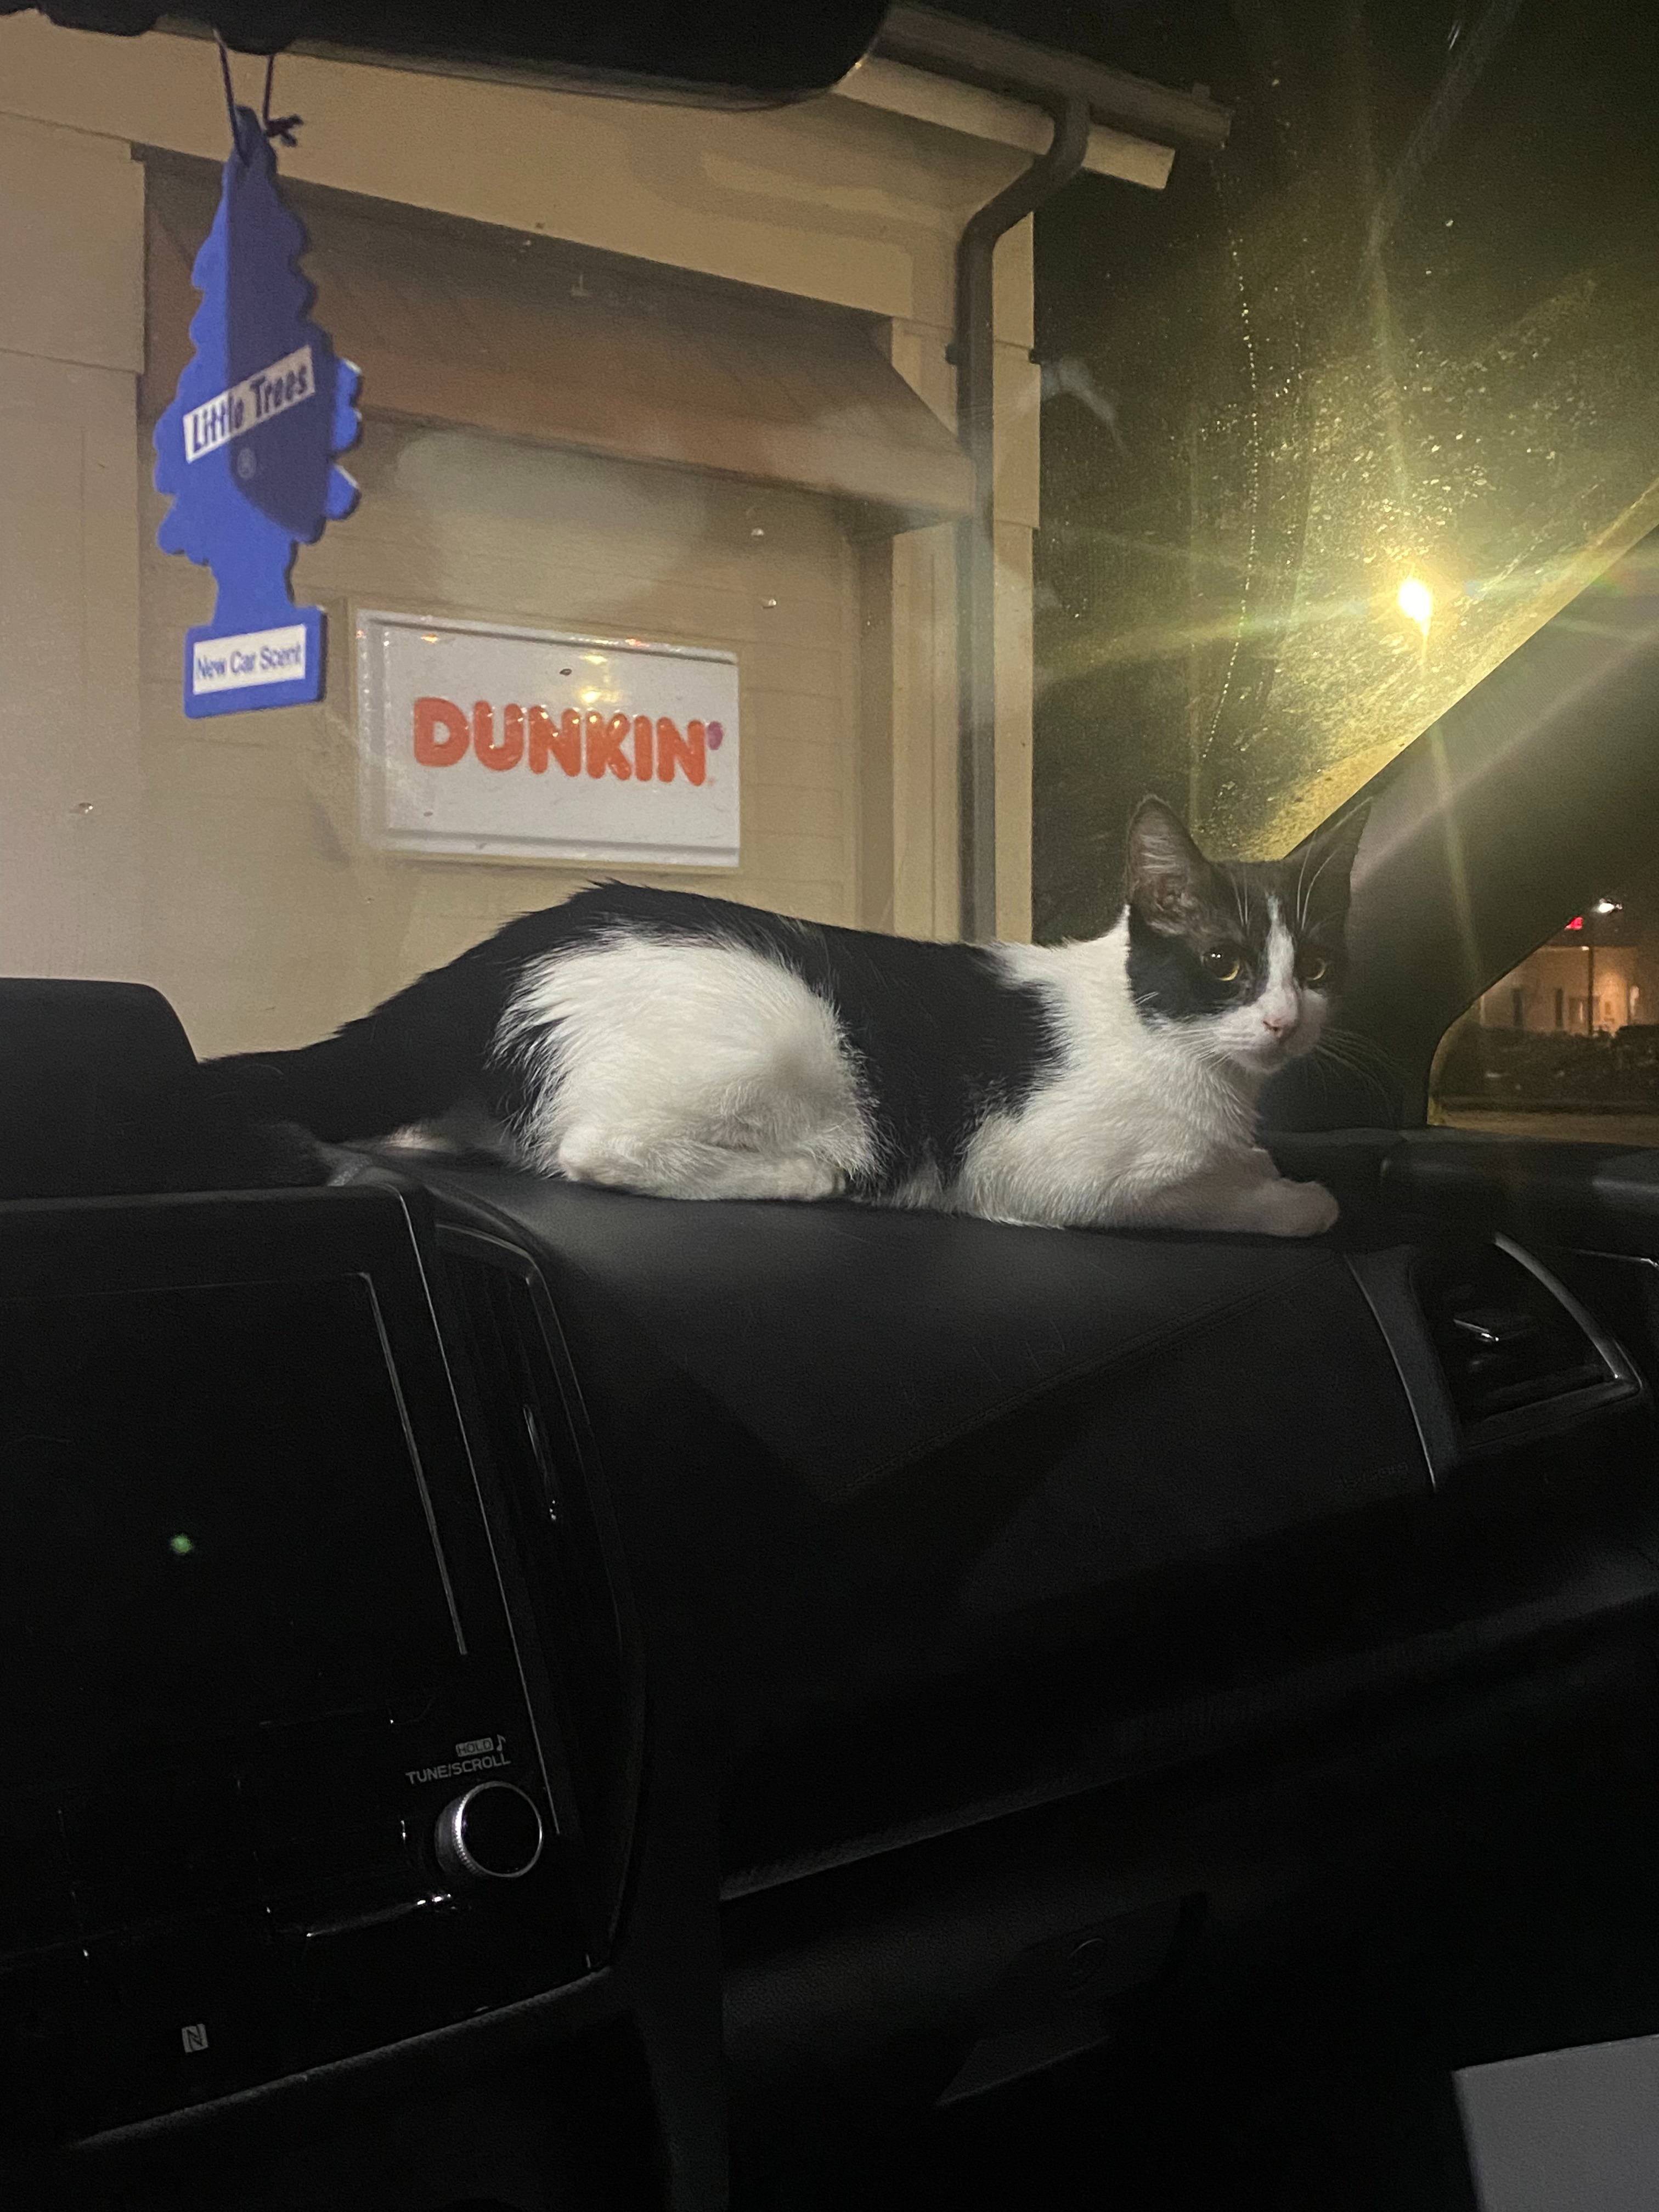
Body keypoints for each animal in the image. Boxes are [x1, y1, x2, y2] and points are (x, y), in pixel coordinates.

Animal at [200, 795, 1368, 1236]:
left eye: (1312, 965)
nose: (1283, 1021)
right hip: (780, 1026)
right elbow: (1206, 1197)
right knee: (600, 1148)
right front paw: (1290, 1197)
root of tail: (493, 957)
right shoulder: (1050, 1171)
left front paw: (1262, 1166)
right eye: (1221, 965)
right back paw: (809, 1171)